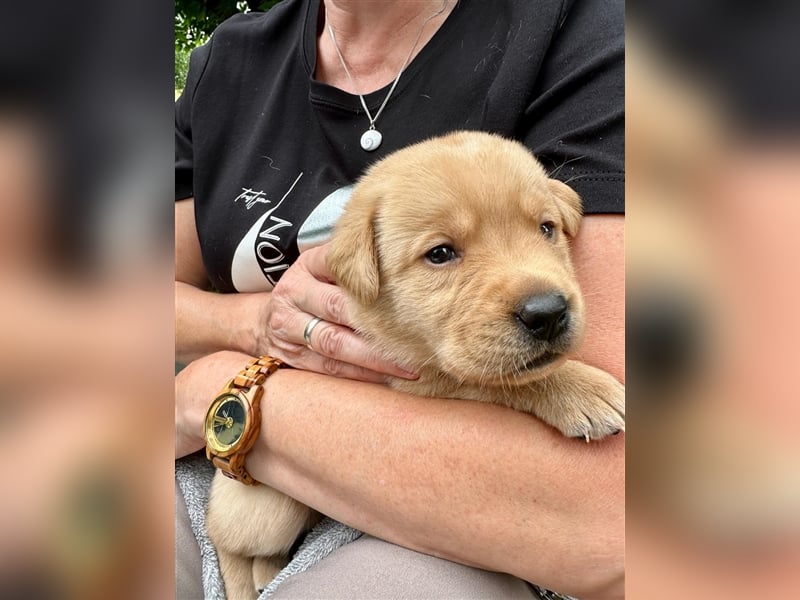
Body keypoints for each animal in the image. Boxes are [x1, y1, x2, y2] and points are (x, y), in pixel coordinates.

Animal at [206, 131, 624, 600]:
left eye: (546, 228)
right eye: (440, 253)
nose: (548, 313)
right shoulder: (413, 375)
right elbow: (498, 380)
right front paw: (581, 390)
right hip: (266, 509)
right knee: (227, 540)